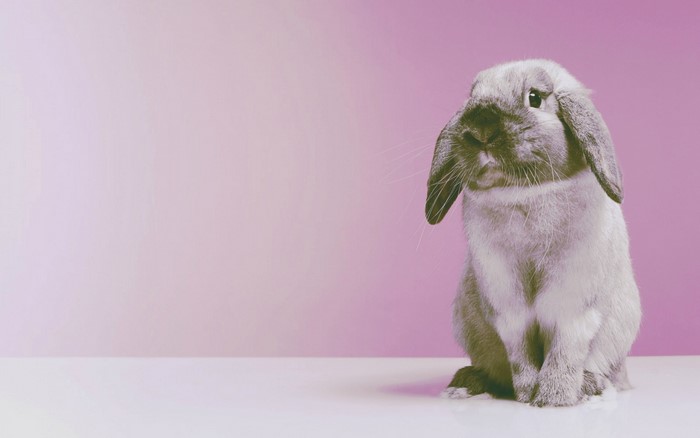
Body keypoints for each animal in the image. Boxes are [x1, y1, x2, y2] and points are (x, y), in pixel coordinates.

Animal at [426, 59, 641, 407]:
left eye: (535, 98)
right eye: (472, 96)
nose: (480, 130)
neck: (524, 194)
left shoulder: (573, 303)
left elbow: (564, 350)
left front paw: (554, 399)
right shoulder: (507, 306)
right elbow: (520, 351)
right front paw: (527, 394)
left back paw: (590, 386)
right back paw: (464, 384)